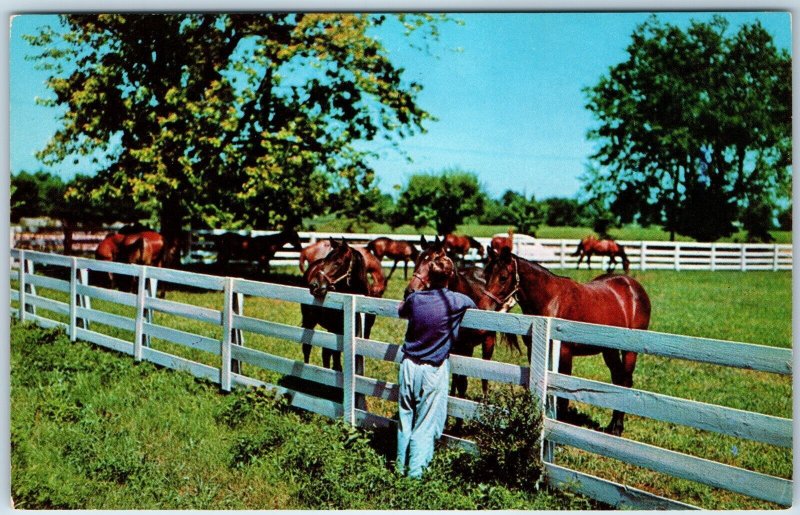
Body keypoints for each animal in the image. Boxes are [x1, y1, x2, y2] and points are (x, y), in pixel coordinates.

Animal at [302, 240, 376, 372]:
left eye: (338, 263)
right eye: (325, 261)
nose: (314, 285)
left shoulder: (365, 332)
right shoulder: (336, 330)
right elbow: (336, 359)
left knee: (325, 352)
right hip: (309, 320)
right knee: (308, 348)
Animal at [406, 236, 500, 402]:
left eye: (431, 265)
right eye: (417, 261)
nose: (410, 291)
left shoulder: (466, 347)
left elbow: (464, 381)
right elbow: (457, 378)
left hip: (487, 342)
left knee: (484, 374)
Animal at [478, 248, 648, 438]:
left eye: (503, 277)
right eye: (486, 274)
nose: (483, 307)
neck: (551, 301)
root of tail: (632, 285)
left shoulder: (565, 354)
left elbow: (563, 394)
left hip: (629, 352)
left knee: (625, 382)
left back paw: (617, 428)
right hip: (609, 351)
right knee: (618, 380)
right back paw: (612, 427)